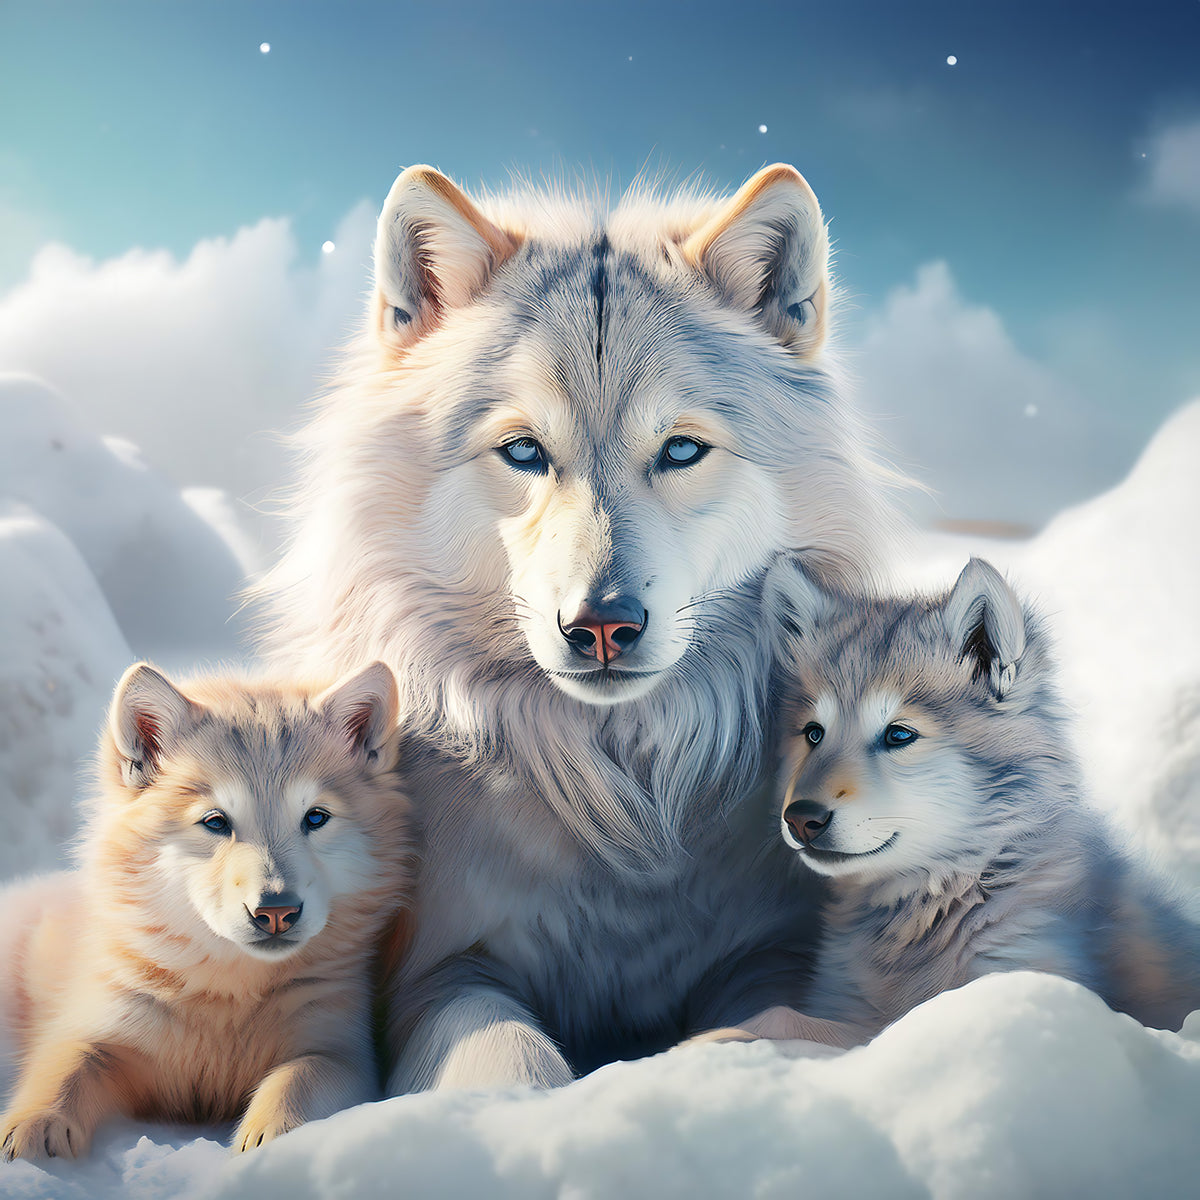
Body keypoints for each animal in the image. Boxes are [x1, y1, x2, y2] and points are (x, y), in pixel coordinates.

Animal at [0, 660, 412, 1160]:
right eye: (216, 822)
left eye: (315, 817)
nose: (276, 912)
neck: (228, 992)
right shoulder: (105, 1019)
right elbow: (68, 1063)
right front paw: (34, 1128)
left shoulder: (340, 1045)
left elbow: (302, 1077)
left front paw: (273, 1137)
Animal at [256, 161, 899, 1091]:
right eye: (525, 450)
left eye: (680, 450)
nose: (601, 626)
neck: (620, 803)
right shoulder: (438, 970)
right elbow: (502, 1049)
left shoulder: (770, 953)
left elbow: (772, 1020)